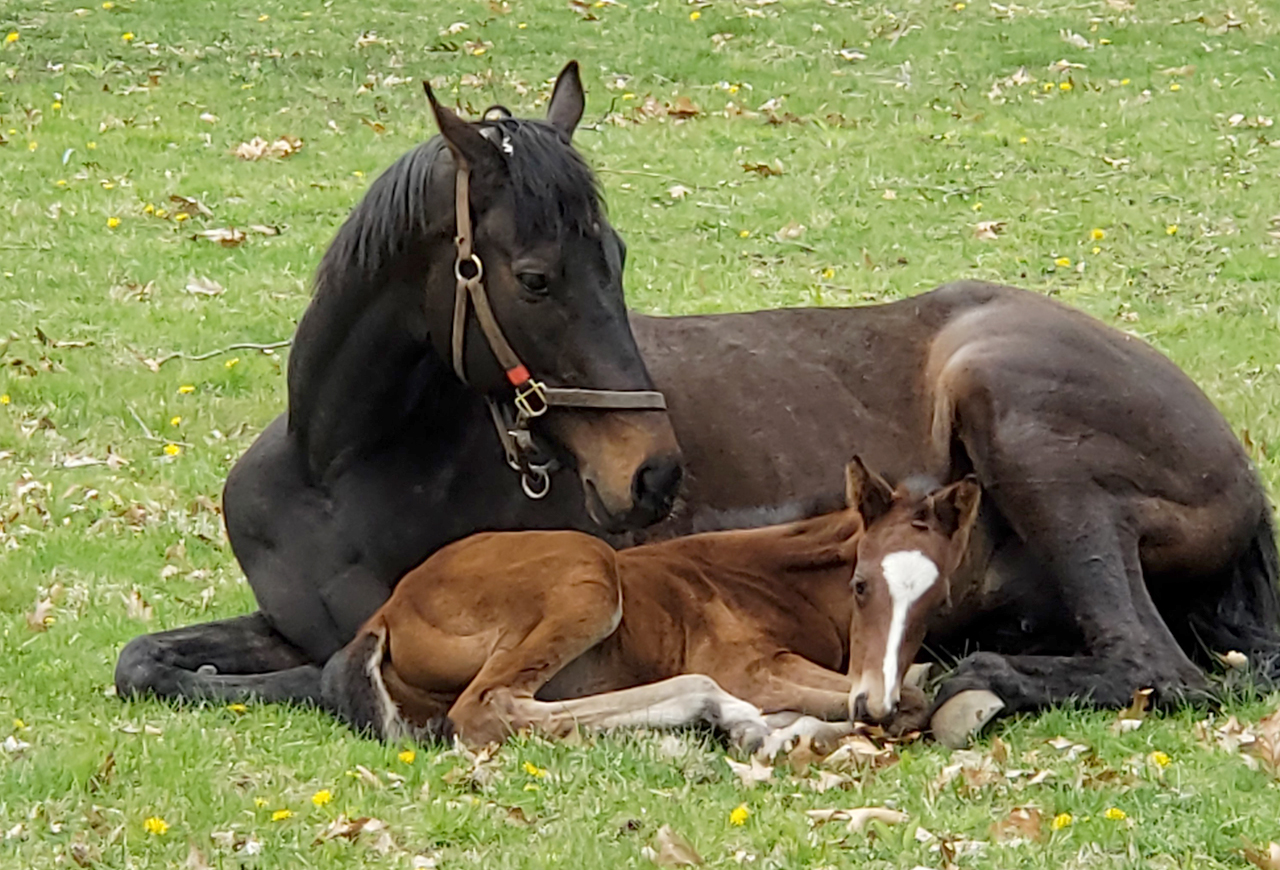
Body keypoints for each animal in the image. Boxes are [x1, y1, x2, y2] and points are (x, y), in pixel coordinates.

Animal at [319, 459, 981, 749]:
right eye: (861, 584)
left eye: (937, 599)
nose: (873, 701)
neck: (772, 577)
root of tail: (385, 614)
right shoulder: (753, 668)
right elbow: (912, 702)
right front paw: (789, 727)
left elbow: (912, 690)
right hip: (587, 573)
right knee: (487, 709)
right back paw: (726, 713)